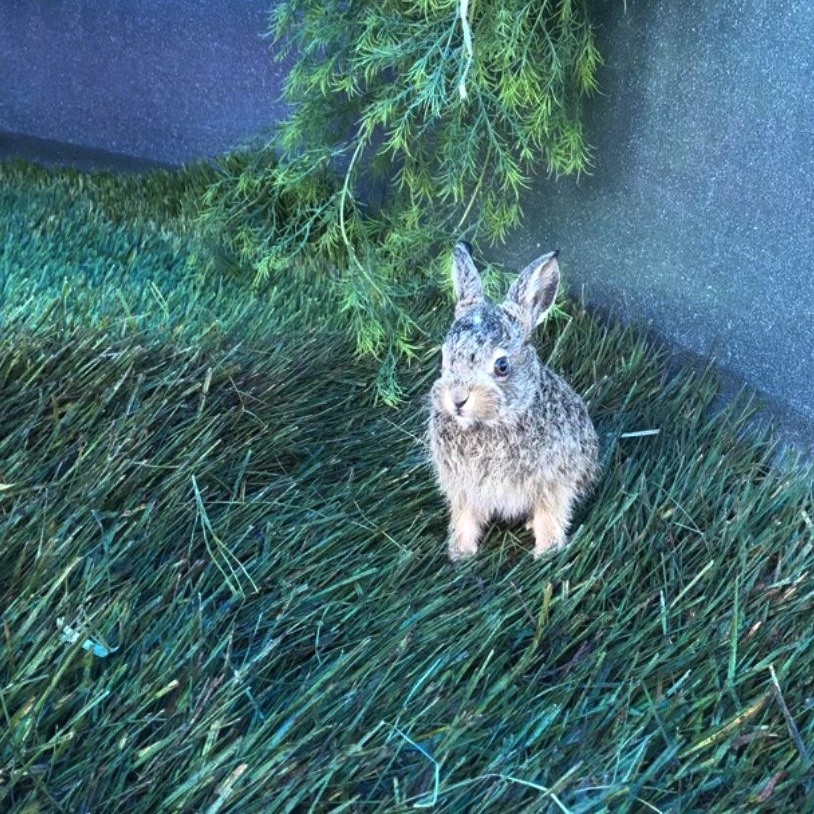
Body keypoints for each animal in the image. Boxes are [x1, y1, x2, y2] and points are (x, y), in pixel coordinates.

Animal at [428, 241, 598, 561]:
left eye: (502, 366)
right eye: (443, 358)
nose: (457, 398)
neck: (491, 424)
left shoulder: (554, 483)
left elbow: (549, 515)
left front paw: (547, 552)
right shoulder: (463, 488)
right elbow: (465, 516)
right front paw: (461, 553)